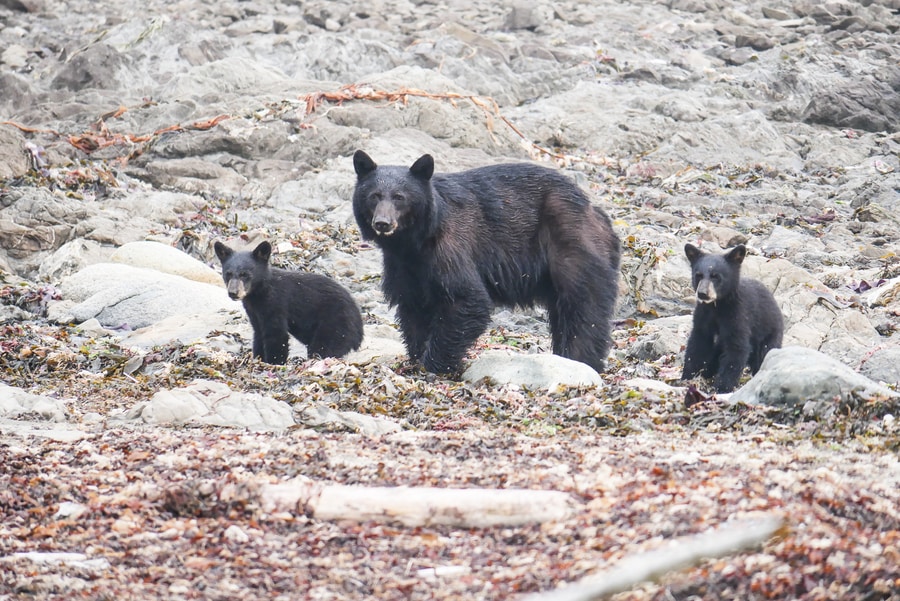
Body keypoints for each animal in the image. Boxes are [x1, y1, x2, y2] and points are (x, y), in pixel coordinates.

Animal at [213, 240, 364, 364]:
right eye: (228, 274)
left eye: (245, 274)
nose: (233, 293)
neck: (258, 293)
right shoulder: (253, 311)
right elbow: (258, 333)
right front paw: (258, 358)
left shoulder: (276, 304)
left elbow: (276, 334)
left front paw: (274, 362)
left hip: (336, 324)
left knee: (324, 347)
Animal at [350, 149, 620, 376]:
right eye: (374, 196)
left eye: (399, 197)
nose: (383, 223)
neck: (413, 243)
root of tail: (597, 212)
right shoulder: (404, 267)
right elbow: (413, 308)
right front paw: (417, 357)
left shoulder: (451, 248)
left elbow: (468, 299)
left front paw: (434, 365)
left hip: (572, 244)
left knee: (584, 306)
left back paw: (582, 359)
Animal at [684, 244, 780, 394]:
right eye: (698, 275)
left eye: (716, 276)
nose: (702, 293)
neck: (717, 306)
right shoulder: (703, 315)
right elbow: (698, 344)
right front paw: (687, 378)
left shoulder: (738, 315)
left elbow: (736, 348)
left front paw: (722, 388)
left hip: (769, 336)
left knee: (764, 355)